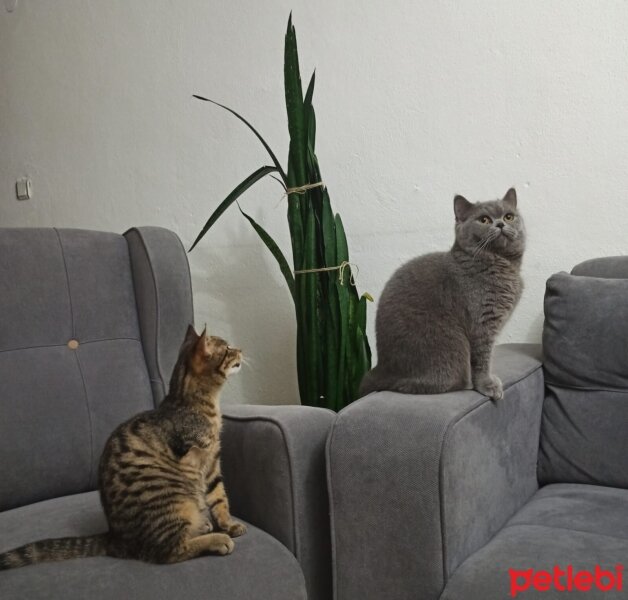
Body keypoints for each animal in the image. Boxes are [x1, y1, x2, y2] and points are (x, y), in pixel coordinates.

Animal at [0, 326, 245, 568]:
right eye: (228, 349)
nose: (241, 349)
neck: (195, 403)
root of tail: (115, 537)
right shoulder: (202, 457)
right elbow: (218, 497)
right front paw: (224, 531)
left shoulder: (212, 463)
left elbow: (219, 498)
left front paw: (229, 524)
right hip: (175, 499)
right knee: (170, 551)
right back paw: (215, 539)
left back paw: (204, 526)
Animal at [358, 188, 524, 400]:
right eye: (484, 219)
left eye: (509, 216)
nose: (501, 223)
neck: (502, 264)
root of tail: (381, 367)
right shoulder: (482, 322)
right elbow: (483, 357)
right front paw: (488, 385)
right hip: (451, 346)